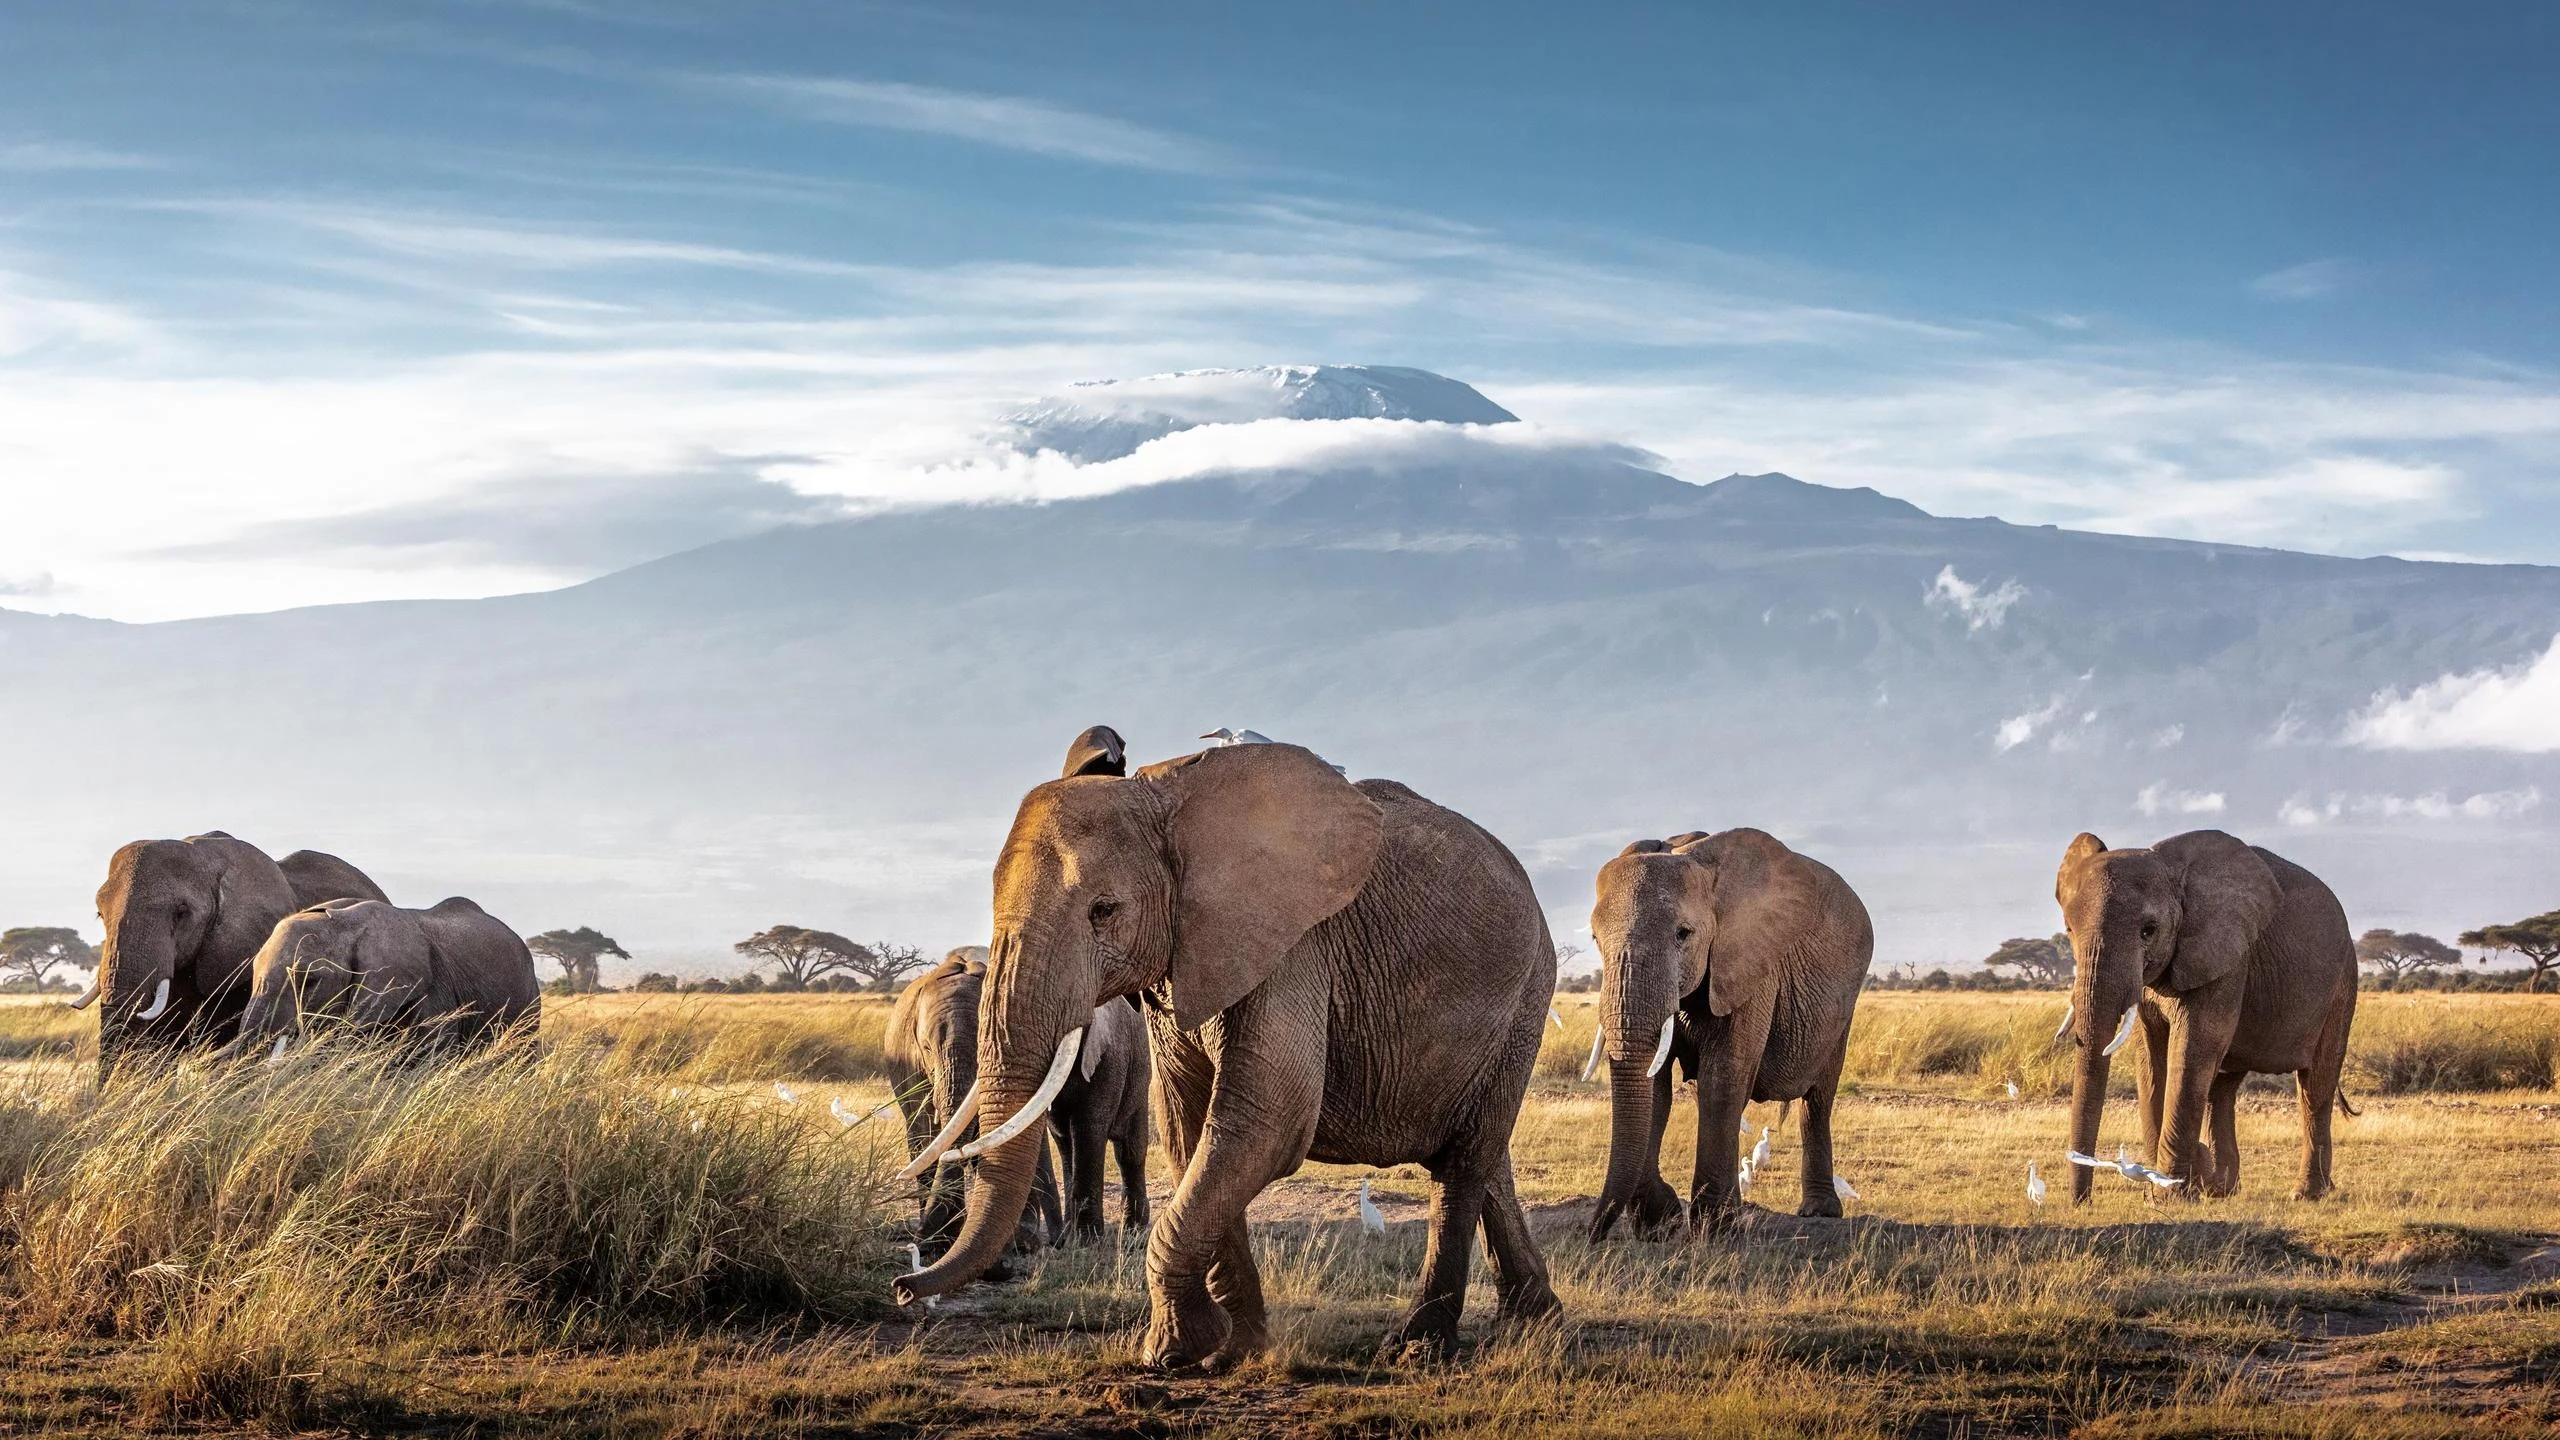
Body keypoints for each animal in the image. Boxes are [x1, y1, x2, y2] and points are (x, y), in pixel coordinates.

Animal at [1587, 829, 1874, 1239]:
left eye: (1683, 934)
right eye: (1595, 939)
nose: (1593, 1234)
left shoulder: (1750, 967)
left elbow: (1722, 1077)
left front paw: (1716, 1225)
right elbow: (1655, 1087)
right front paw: (1661, 1222)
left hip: (1843, 1006)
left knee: (1818, 1099)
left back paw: (1819, 1212)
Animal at [2055, 830, 2358, 1203]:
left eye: (2148, 930)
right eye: (2069, 930)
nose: (2081, 1202)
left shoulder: (2227, 959)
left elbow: (2191, 1051)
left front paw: (2170, 1194)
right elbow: (2151, 1061)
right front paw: (2172, 1186)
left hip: (2341, 985)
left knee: (2315, 1087)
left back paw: (2306, 1193)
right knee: (2222, 1089)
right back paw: (2220, 1190)